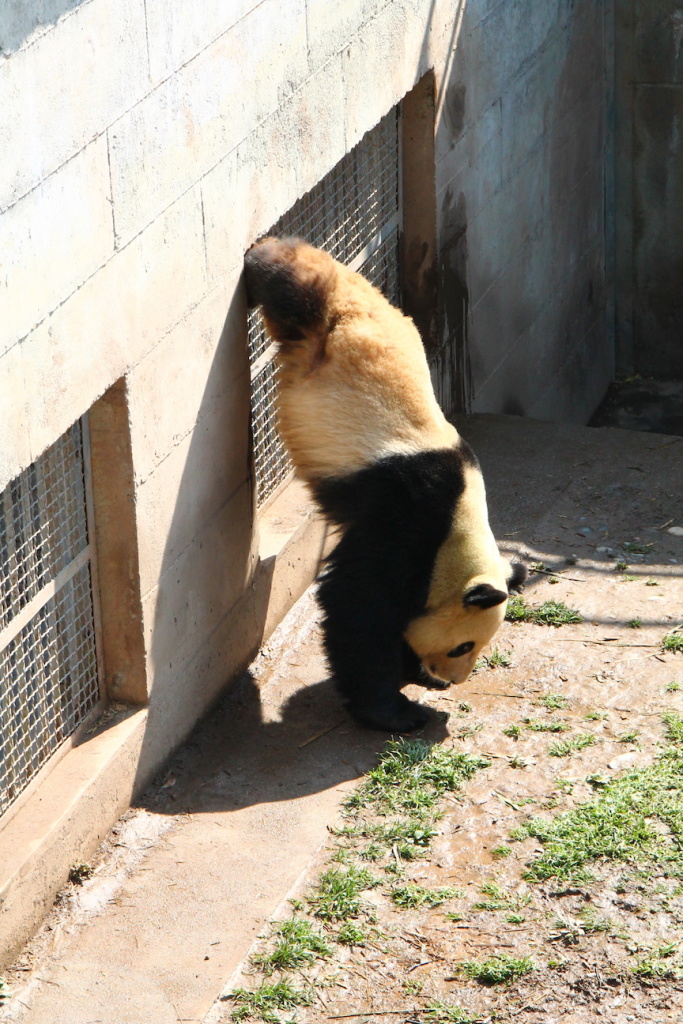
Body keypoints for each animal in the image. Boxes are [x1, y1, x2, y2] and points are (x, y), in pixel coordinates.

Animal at [242, 237, 528, 737]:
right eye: (463, 646)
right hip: (321, 322)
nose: (452, 679)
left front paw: (413, 675)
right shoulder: (406, 519)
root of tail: (349, 284)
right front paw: (395, 710)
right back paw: (264, 254)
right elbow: (358, 603)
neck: (460, 525)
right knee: (292, 284)